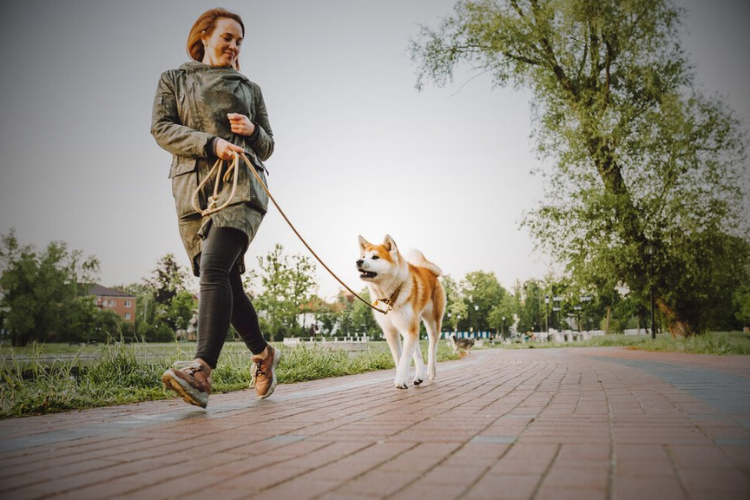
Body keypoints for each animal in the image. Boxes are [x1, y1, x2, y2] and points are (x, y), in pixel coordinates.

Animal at [358, 235, 446, 390]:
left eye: (375, 257)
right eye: (363, 256)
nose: (358, 261)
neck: (390, 296)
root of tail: (429, 271)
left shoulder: (409, 329)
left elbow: (405, 358)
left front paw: (400, 381)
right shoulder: (391, 331)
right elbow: (399, 358)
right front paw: (402, 377)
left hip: (432, 323)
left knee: (432, 348)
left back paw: (431, 370)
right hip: (413, 325)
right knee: (417, 353)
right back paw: (418, 377)